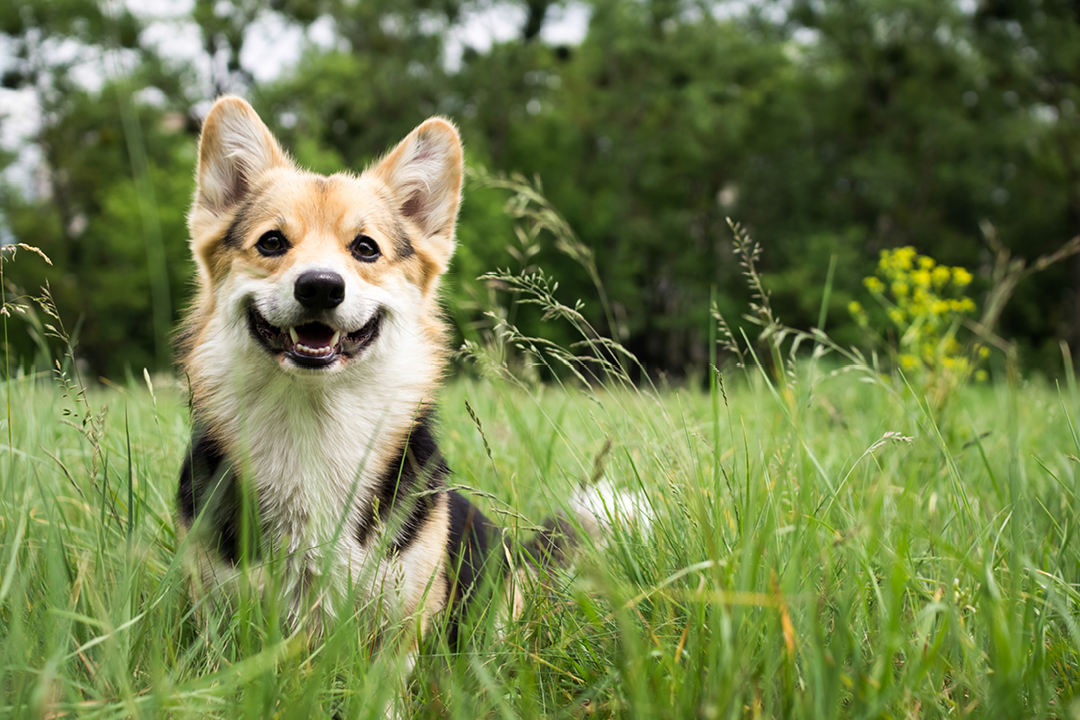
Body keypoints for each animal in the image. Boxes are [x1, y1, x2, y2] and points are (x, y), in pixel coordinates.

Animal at [174, 95, 600, 647]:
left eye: (365, 248)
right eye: (271, 242)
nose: (319, 286)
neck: (314, 419)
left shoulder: (400, 628)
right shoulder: (218, 619)